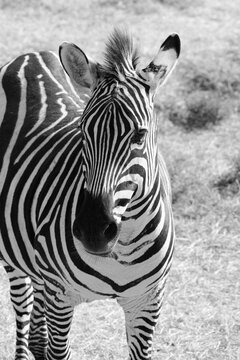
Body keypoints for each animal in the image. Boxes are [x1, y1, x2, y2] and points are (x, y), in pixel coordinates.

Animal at [0, 28, 180, 360]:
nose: (94, 231)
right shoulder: (61, 296)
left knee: (35, 330)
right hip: (14, 253)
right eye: (83, 131)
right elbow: (57, 350)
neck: (124, 246)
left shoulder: (148, 301)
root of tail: (30, 55)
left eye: (139, 135)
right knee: (23, 307)